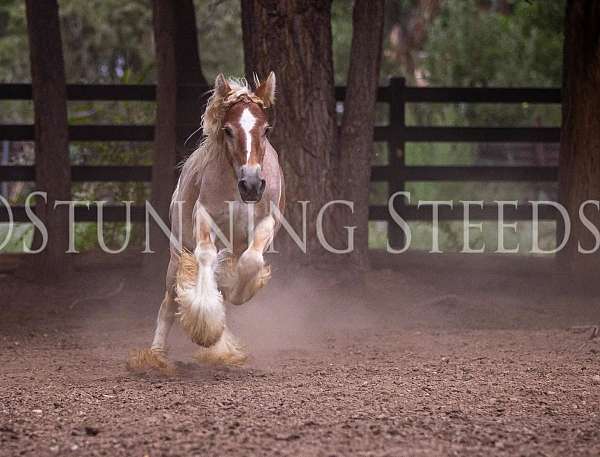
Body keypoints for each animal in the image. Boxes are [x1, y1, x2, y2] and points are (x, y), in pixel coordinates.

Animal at [129, 71, 284, 370]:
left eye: (265, 130)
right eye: (228, 130)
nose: (252, 184)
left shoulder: (265, 222)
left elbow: (250, 262)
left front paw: (238, 290)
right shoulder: (205, 217)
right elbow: (205, 258)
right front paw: (205, 328)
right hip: (177, 252)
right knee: (169, 302)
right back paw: (155, 356)